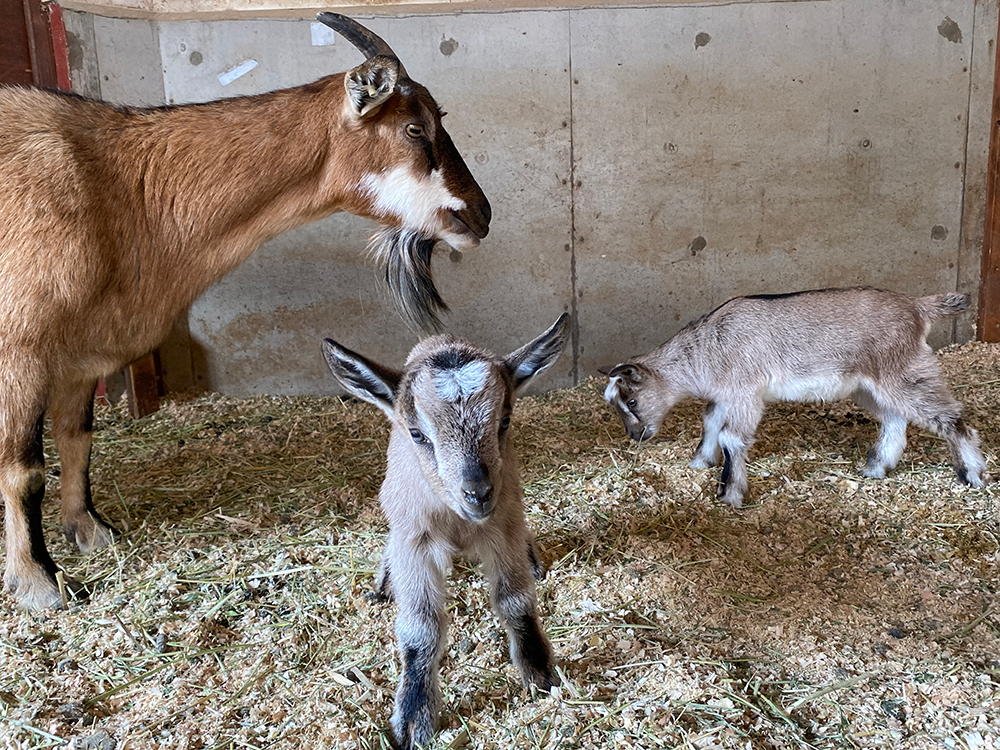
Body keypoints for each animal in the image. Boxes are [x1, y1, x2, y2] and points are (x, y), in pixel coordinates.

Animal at [0, 13, 492, 612]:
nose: (481, 214)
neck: (119, 187)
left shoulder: (81, 354)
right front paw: (37, 580)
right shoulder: (21, 350)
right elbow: (24, 469)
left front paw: (90, 532)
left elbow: (76, 440)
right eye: (415, 129)